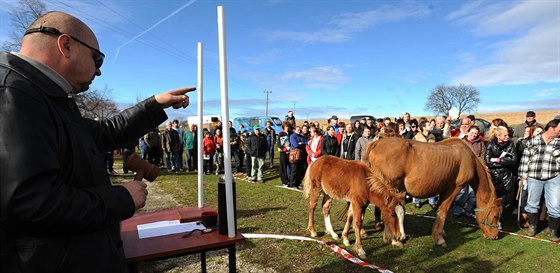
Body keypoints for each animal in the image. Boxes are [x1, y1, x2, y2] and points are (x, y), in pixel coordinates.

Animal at [364, 137, 504, 245]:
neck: (469, 159)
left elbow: (439, 209)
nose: (495, 236)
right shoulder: (455, 187)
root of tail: (376, 143)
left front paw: (441, 232)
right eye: (496, 216)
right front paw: (438, 238)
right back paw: (393, 239)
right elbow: (444, 210)